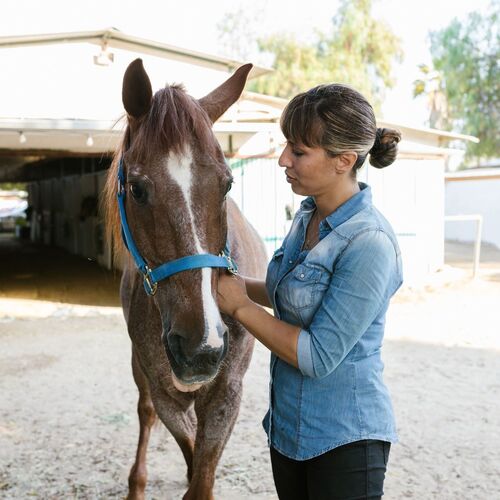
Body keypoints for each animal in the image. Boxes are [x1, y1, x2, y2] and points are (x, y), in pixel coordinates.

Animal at [102, 59, 270, 500]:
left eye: (227, 183)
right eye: (137, 189)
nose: (201, 348)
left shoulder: (227, 393)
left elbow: (202, 475)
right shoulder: (166, 395)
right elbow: (187, 446)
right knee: (144, 414)